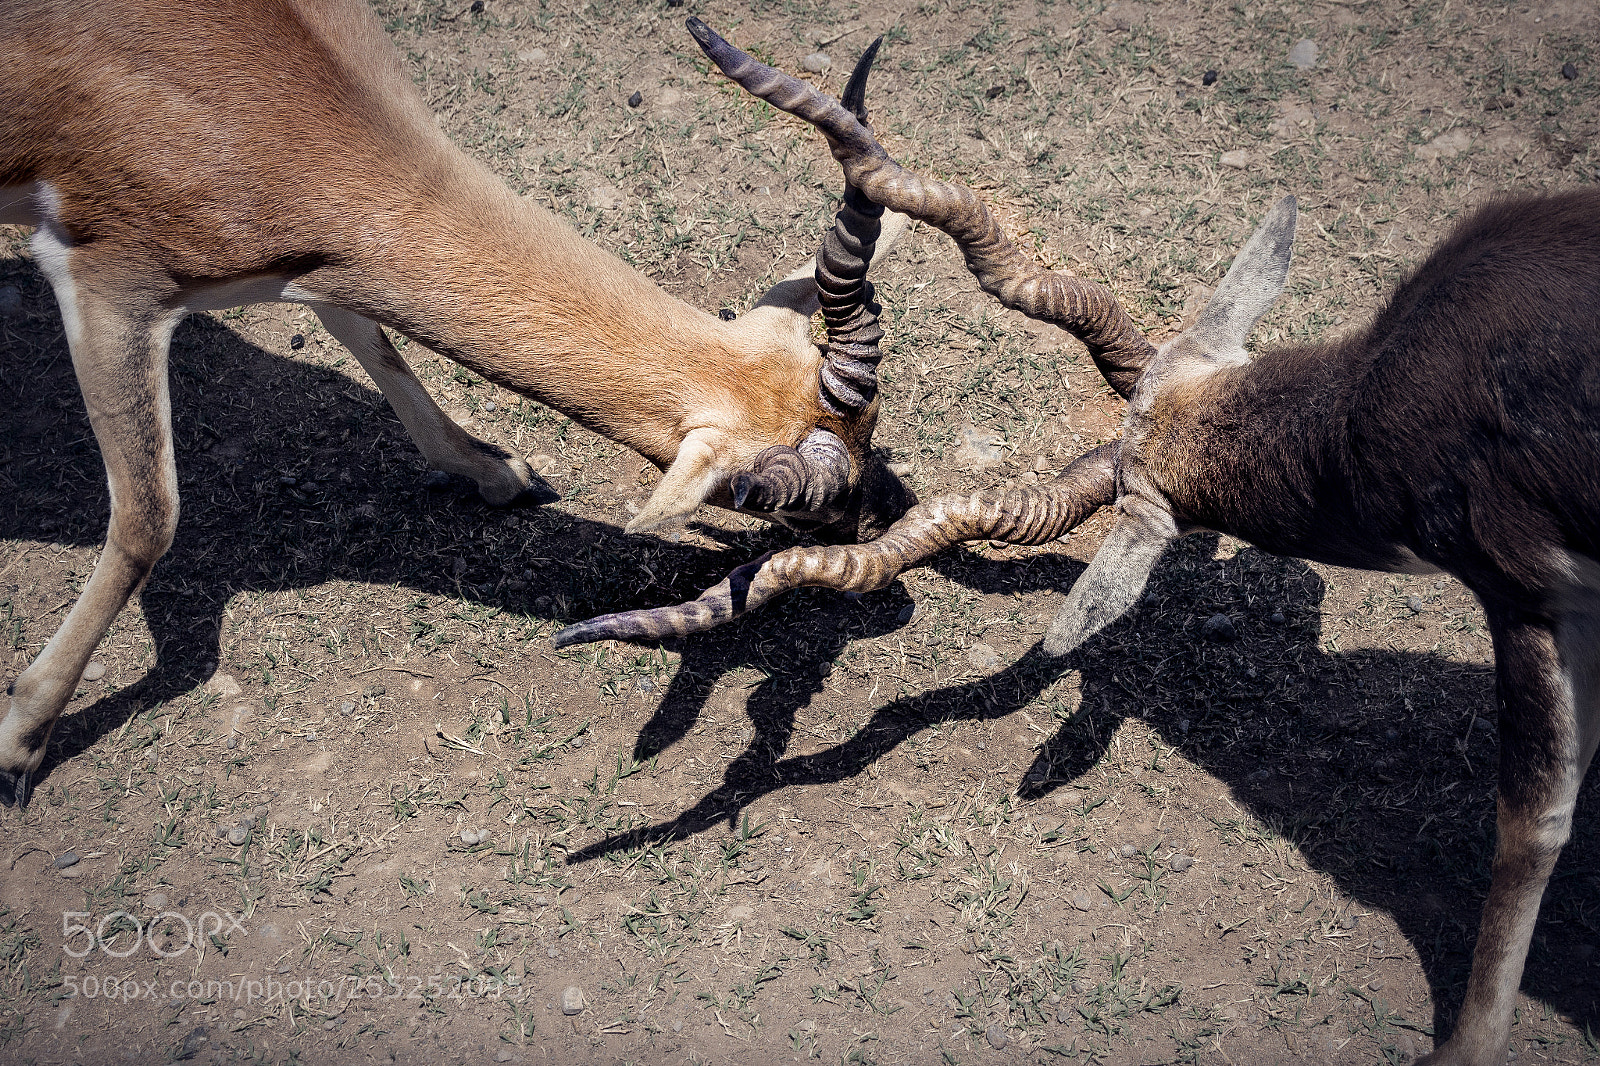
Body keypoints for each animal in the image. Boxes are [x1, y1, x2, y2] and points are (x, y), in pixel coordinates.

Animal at [0, 0, 919, 807]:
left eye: (871, 433)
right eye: (777, 496)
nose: (876, 523)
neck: (256, 113)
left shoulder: (321, 265)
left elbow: (366, 331)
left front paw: (495, 472)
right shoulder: (110, 286)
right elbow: (148, 519)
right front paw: (20, 740)